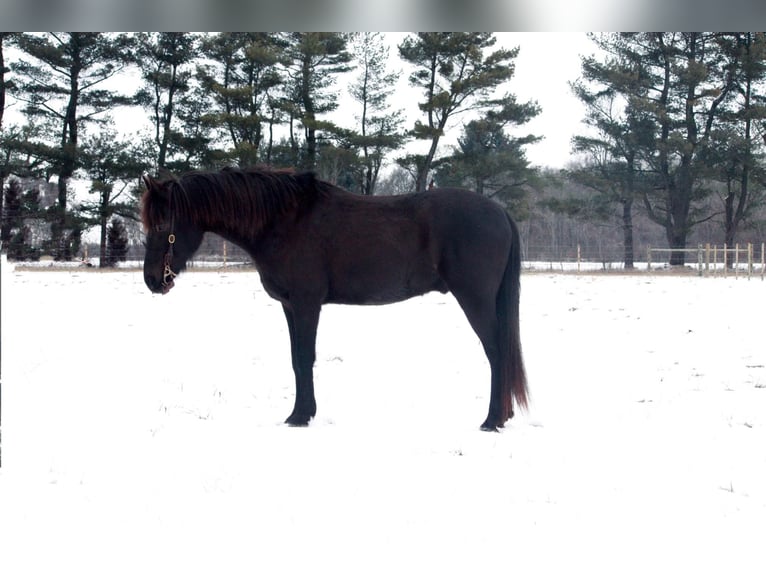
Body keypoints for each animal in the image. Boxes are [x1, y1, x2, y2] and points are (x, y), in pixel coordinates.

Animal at [142, 166, 528, 432]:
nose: (152, 281)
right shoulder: (289, 306)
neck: (283, 222)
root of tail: (500, 212)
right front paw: (302, 413)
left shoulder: (306, 303)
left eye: (162, 226)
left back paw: (492, 420)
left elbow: (304, 358)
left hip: (475, 300)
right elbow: (296, 359)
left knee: (497, 352)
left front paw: (299, 416)